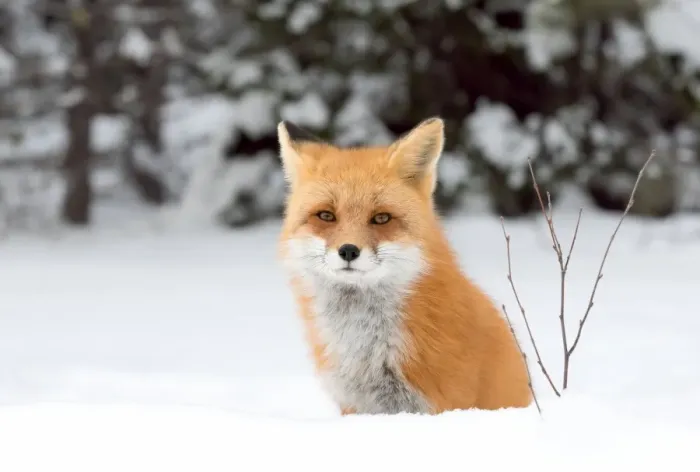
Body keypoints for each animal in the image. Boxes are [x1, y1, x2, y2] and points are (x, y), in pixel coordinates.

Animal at [276, 117, 532, 415]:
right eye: (326, 215)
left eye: (381, 218)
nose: (348, 250)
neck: (365, 346)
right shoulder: (354, 405)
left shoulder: (438, 403)